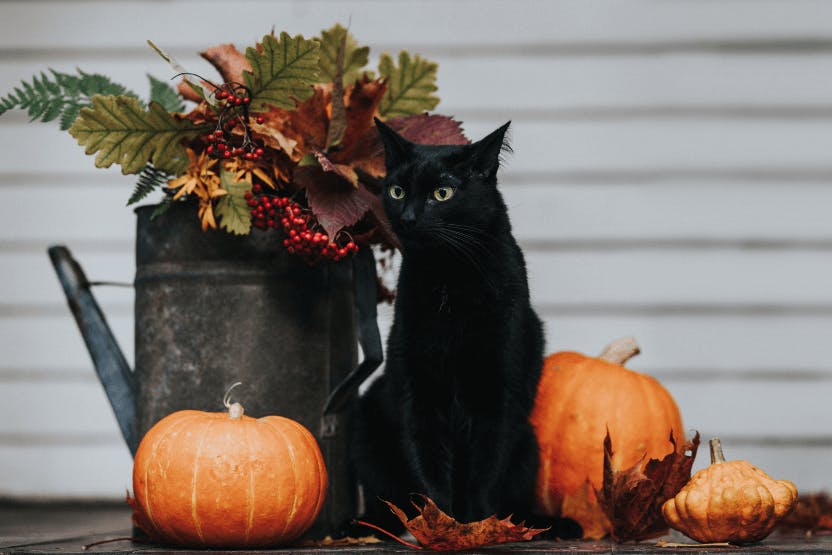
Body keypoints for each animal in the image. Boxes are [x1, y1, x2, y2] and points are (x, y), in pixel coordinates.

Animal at [348, 119, 568, 536]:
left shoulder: (498, 388)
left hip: (528, 444)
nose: (409, 218)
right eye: (397, 191)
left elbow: (485, 467)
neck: (451, 280)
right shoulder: (418, 386)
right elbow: (428, 462)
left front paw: (476, 527)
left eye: (443, 193)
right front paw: (440, 524)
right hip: (366, 427)